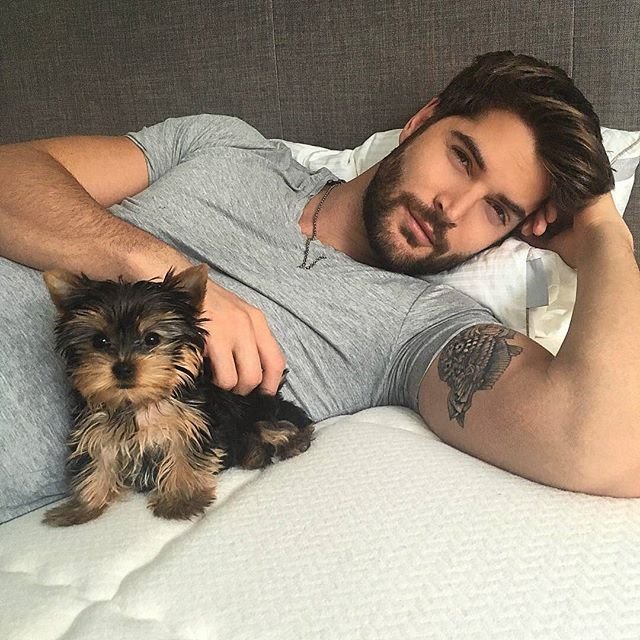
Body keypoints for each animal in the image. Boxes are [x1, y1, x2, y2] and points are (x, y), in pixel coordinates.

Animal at [42, 263, 314, 526]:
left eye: (152, 338)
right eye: (99, 341)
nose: (123, 368)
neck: (138, 403)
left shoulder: (191, 424)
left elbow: (184, 457)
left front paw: (182, 501)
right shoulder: (98, 430)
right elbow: (97, 462)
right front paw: (82, 507)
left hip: (253, 408)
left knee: (278, 424)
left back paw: (293, 441)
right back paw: (254, 456)